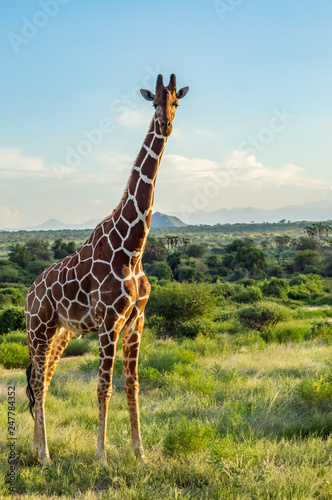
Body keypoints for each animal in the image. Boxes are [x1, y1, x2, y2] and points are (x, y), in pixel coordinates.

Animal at [25, 72, 189, 462]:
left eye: (176, 101)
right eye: (153, 101)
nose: (166, 124)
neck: (132, 248)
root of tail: (28, 293)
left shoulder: (136, 321)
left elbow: (132, 386)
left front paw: (139, 452)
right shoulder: (109, 321)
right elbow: (103, 387)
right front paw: (100, 454)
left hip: (61, 332)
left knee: (45, 381)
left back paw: (38, 448)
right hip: (38, 328)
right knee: (37, 381)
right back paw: (45, 455)